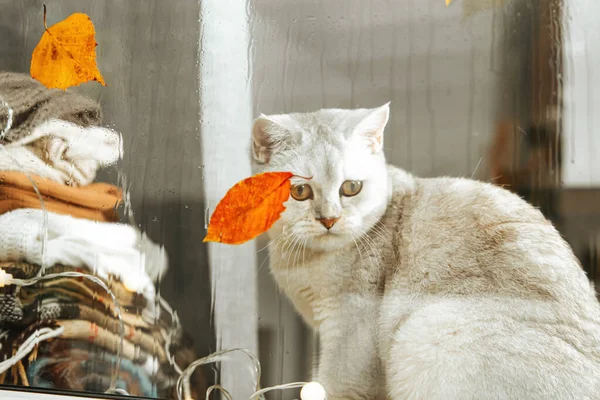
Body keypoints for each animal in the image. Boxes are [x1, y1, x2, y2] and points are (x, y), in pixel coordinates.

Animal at [251, 104, 600, 400]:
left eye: (351, 187)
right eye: (299, 191)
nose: (329, 219)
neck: (306, 259)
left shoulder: (349, 334)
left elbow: (335, 386)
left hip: (429, 327)